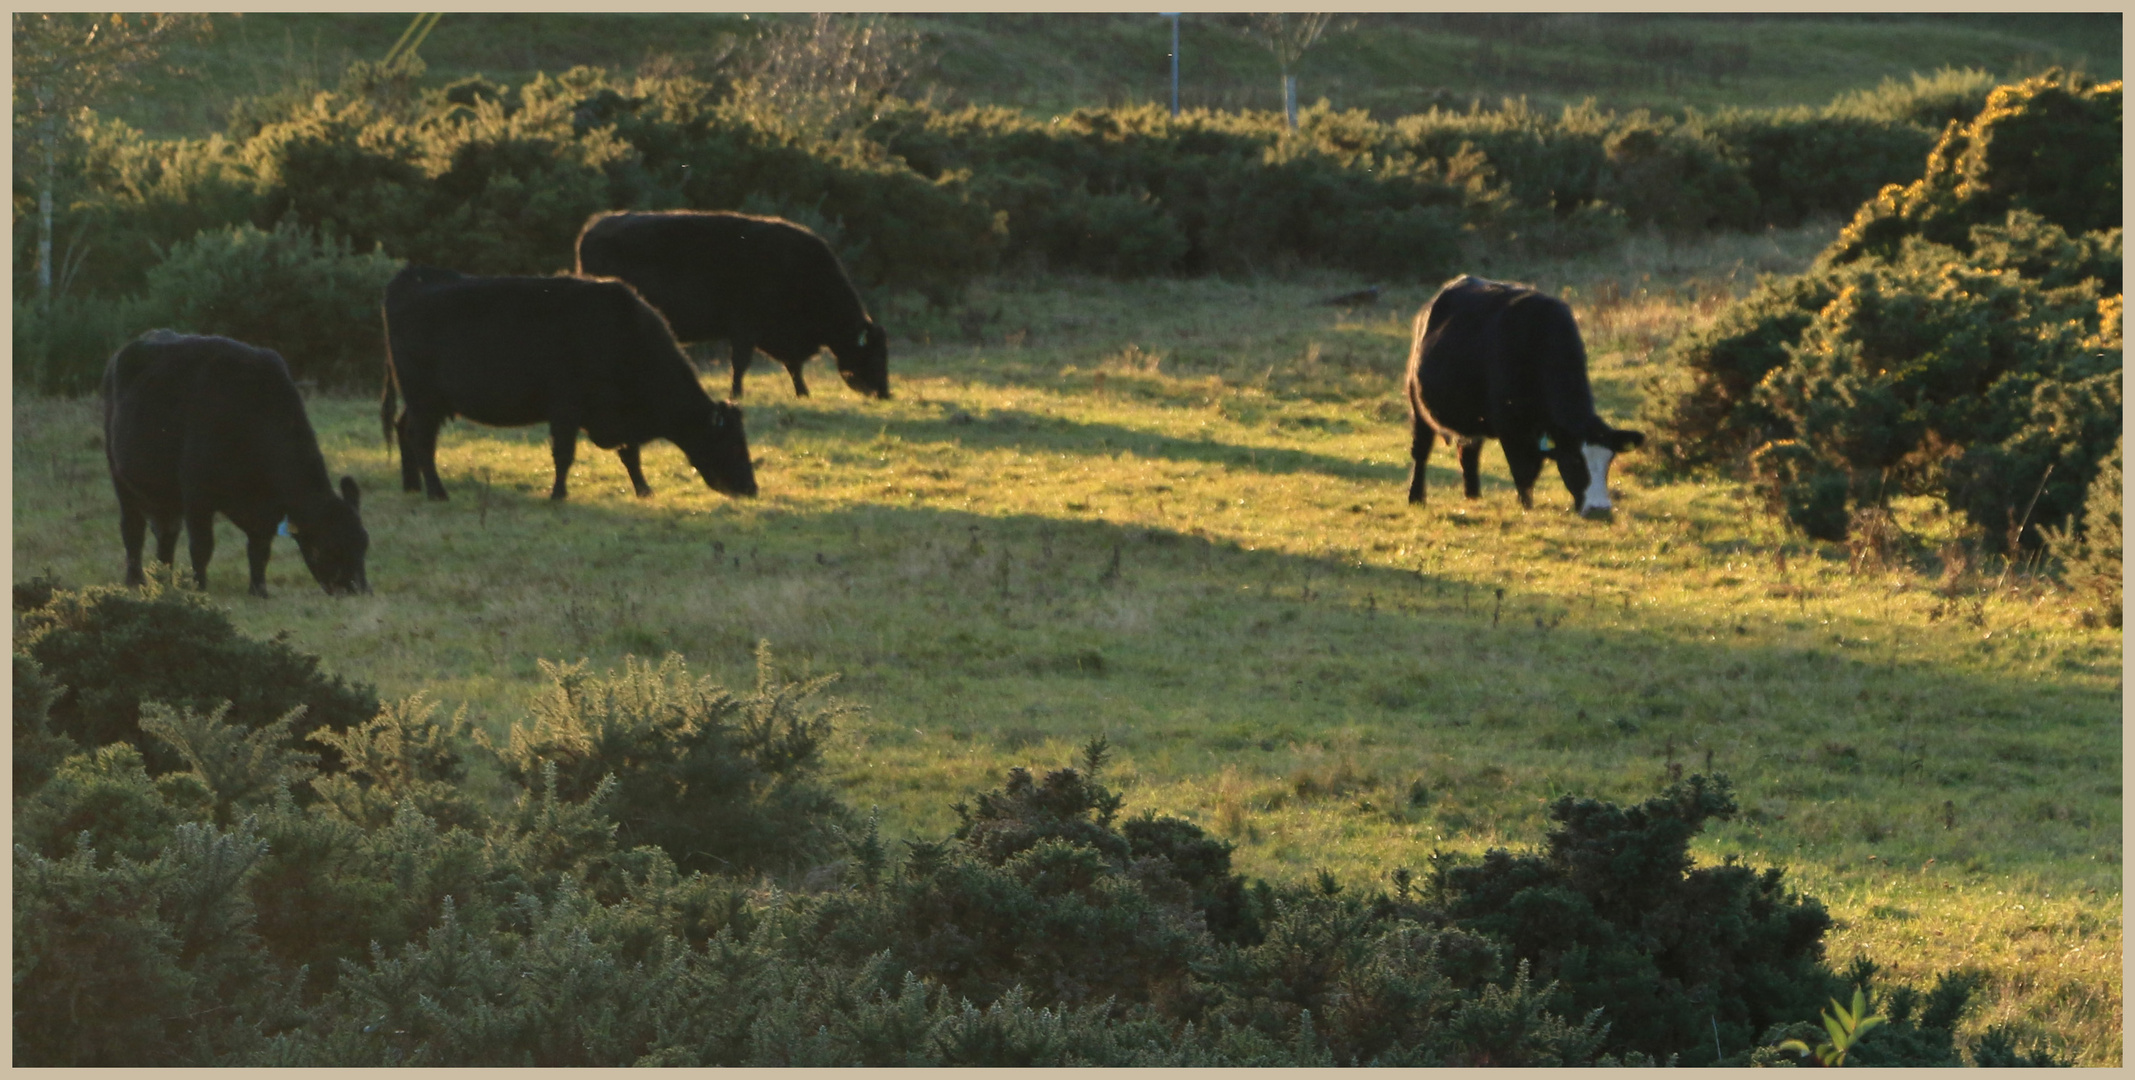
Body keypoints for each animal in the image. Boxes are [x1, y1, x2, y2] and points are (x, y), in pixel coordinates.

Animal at [104, 330, 371, 597]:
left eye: (364, 544)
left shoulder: (267, 510)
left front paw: (259, 590)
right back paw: (136, 579)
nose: (360, 590)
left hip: (164, 493)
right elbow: (202, 546)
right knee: (133, 529)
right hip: (119, 476)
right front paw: (199, 588)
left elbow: (260, 550)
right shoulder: (197, 494)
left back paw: (164, 580)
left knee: (166, 532)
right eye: (330, 547)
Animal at [384, 270, 760, 505]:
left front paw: (644, 490)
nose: (752, 489)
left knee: (403, 429)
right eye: (733, 444)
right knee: (422, 440)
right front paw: (559, 494)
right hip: (424, 398)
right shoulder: (566, 407)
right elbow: (564, 454)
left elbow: (631, 455)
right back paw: (436, 492)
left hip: (421, 401)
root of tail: (411, 277)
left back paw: (411, 486)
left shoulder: (618, 416)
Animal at [572, 209, 888, 399]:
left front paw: (803, 393)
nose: (885, 392)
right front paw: (736, 394)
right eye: (873, 353)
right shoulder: (745, 329)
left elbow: (792, 365)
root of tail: (595, 225)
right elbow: (741, 364)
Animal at [1400, 275, 1648, 516]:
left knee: (1469, 452)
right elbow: (1524, 470)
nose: (1599, 509)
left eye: (1609, 461)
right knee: (1421, 451)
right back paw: (1416, 498)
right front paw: (1527, 507)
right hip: (1417, 404)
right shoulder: (1510, 427)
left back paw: (1474, 497)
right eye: (1575, 460)